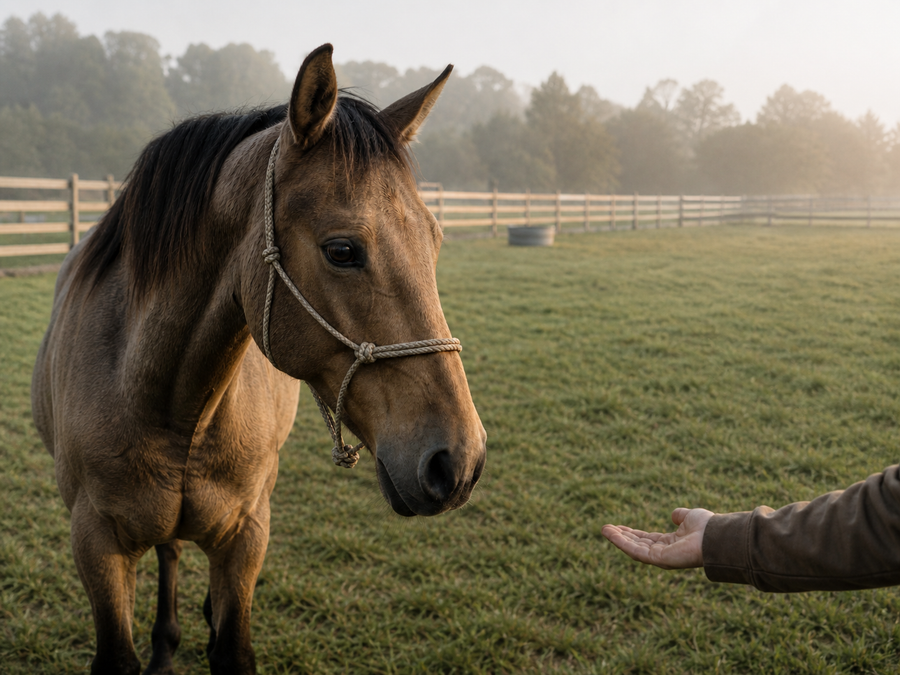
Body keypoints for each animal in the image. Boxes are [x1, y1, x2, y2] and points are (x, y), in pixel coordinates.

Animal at [31, 44, 486, 674]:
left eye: (435, 239)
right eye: (341, 250)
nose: (458, 461)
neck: (164, 400)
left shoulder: (247, 534)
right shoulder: (95, 544)